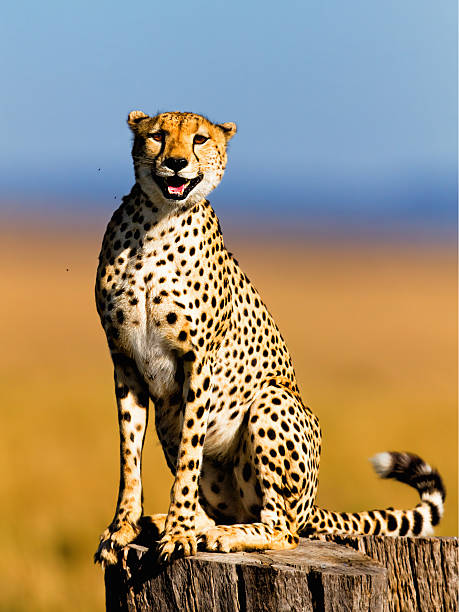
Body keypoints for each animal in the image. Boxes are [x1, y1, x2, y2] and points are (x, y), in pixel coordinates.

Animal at [94, 110, 446, 564]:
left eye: (200, 139)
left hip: (270, 401)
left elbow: (189, 459)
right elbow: (128, 458)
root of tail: (313, 506)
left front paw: (178, 535)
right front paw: (122, 529)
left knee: (283, 527)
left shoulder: (199, 362)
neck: (157, 222)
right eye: (157, 135)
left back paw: (221, 535)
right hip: (171, 423)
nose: (175, 162)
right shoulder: (124, 361)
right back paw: (170, 523)